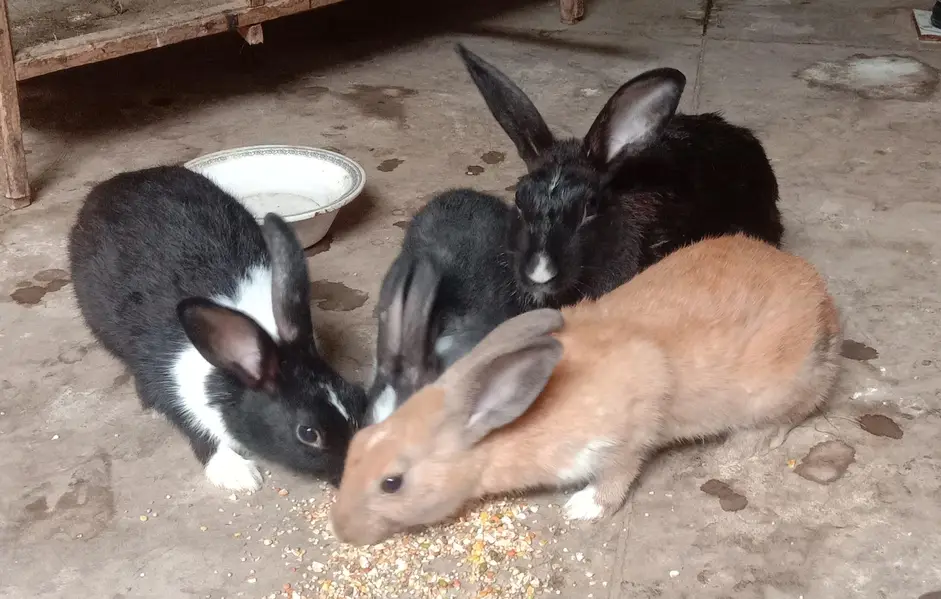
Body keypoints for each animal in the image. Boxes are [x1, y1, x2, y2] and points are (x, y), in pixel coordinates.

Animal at [68, 165, 367, 492]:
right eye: (308, 433)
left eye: (356, 396)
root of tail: (118, 180)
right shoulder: (172, 387)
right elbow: (197, 430)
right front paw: (239, 476)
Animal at [329, 234, 842, 545]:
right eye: (356, 446)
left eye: (392, 482)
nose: (343, 529)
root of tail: (825, 306)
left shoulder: (629, 429)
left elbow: (618, 475)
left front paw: (583, 508)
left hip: (778, 388)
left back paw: (740, 448)